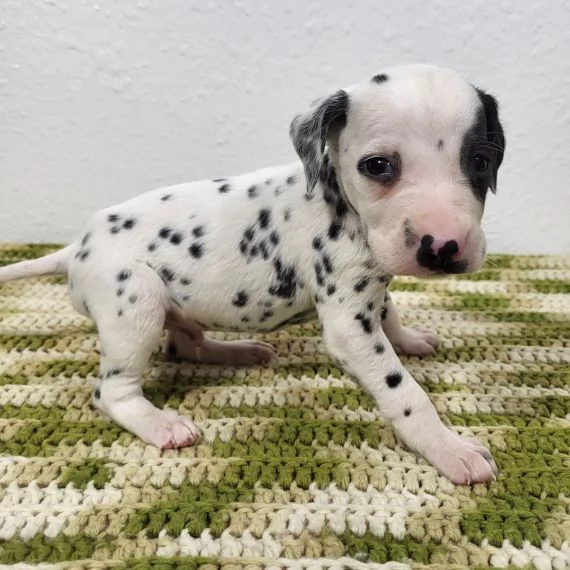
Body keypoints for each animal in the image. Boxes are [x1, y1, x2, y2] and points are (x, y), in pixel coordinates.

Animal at [2, 63, 504, 484]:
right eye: (378, 166)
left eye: (480, 161)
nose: (443, 245)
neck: (337, 198)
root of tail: (76, 249)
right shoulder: (351, 325)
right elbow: (404, 393)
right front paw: (447, 447)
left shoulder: (372, 285)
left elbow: (391, 311)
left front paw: (411, 338)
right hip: (137, 301)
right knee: (114, 391)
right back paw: (159, 422)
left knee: (185, 345)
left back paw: (236, 350)